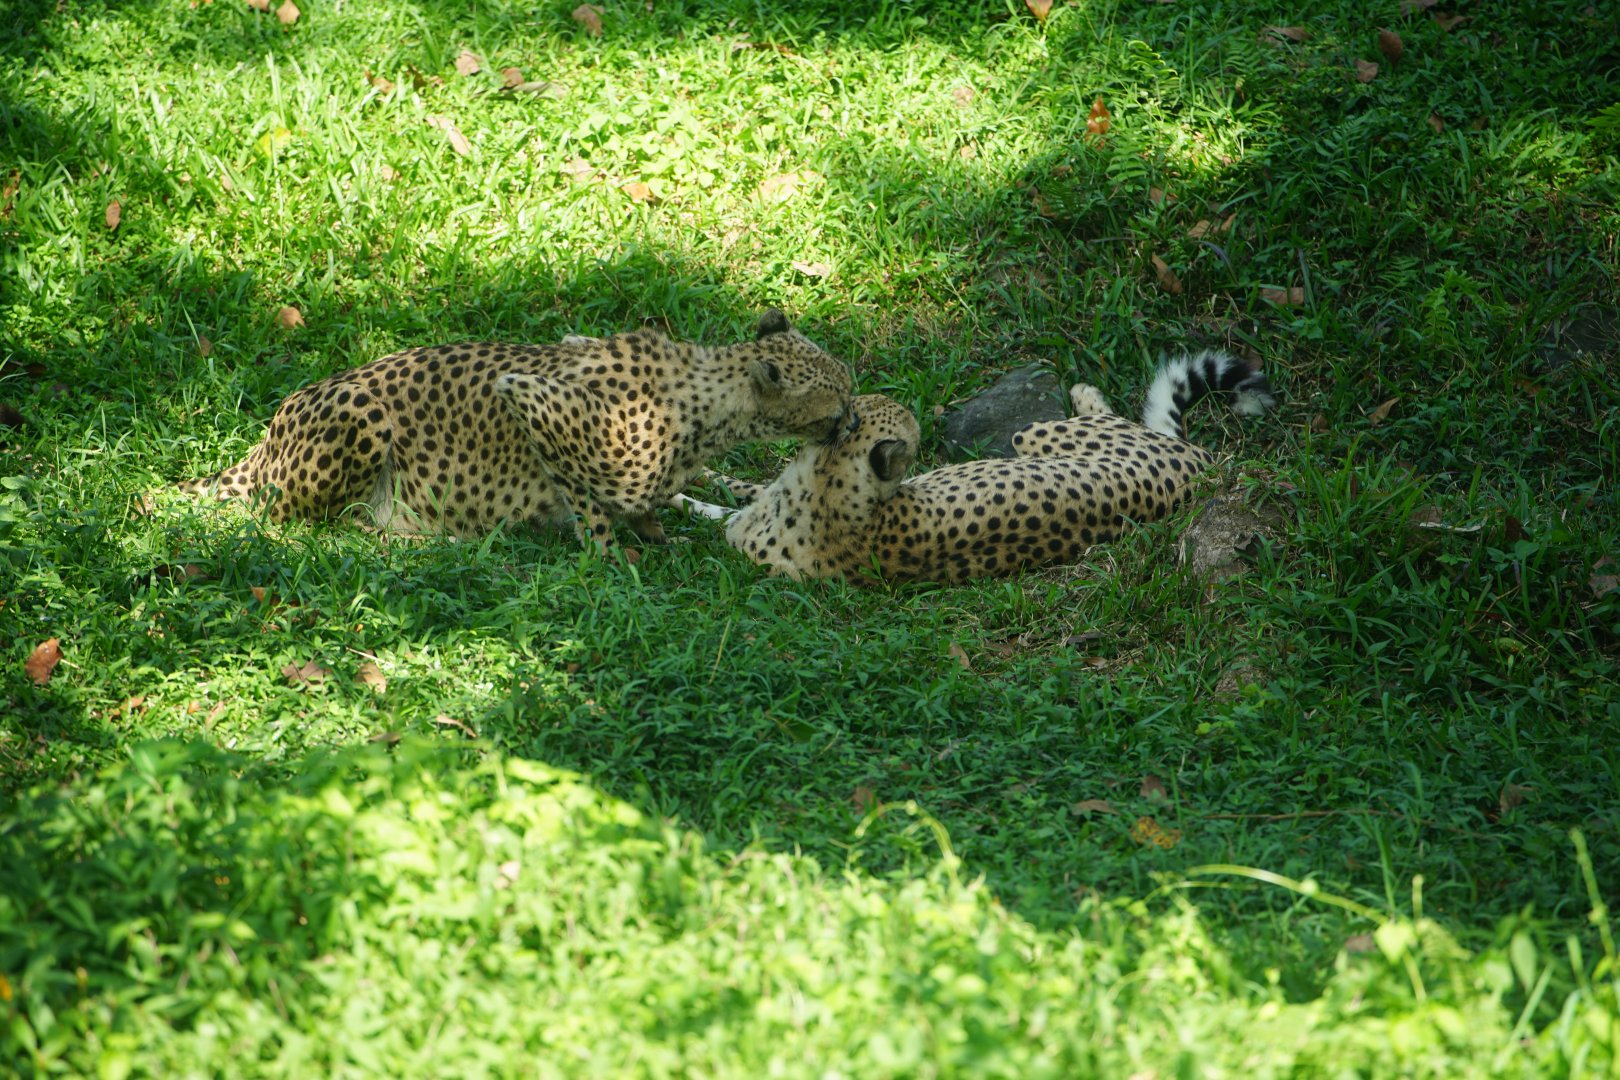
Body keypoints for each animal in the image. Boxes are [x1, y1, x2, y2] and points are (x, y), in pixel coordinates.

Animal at [179, 309, 856, 546]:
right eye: (838, 399)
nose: (851, 422)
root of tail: (267, 435)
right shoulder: (534, 399)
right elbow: (590, 506)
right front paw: (613, 563)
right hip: (359, 414)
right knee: (313, 525)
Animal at [674, 349, 1274, 584]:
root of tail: (1200, 470)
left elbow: (733, 492)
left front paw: (687, 486)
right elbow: (725, 502)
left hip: (1035, 434)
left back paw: (1083, 389)